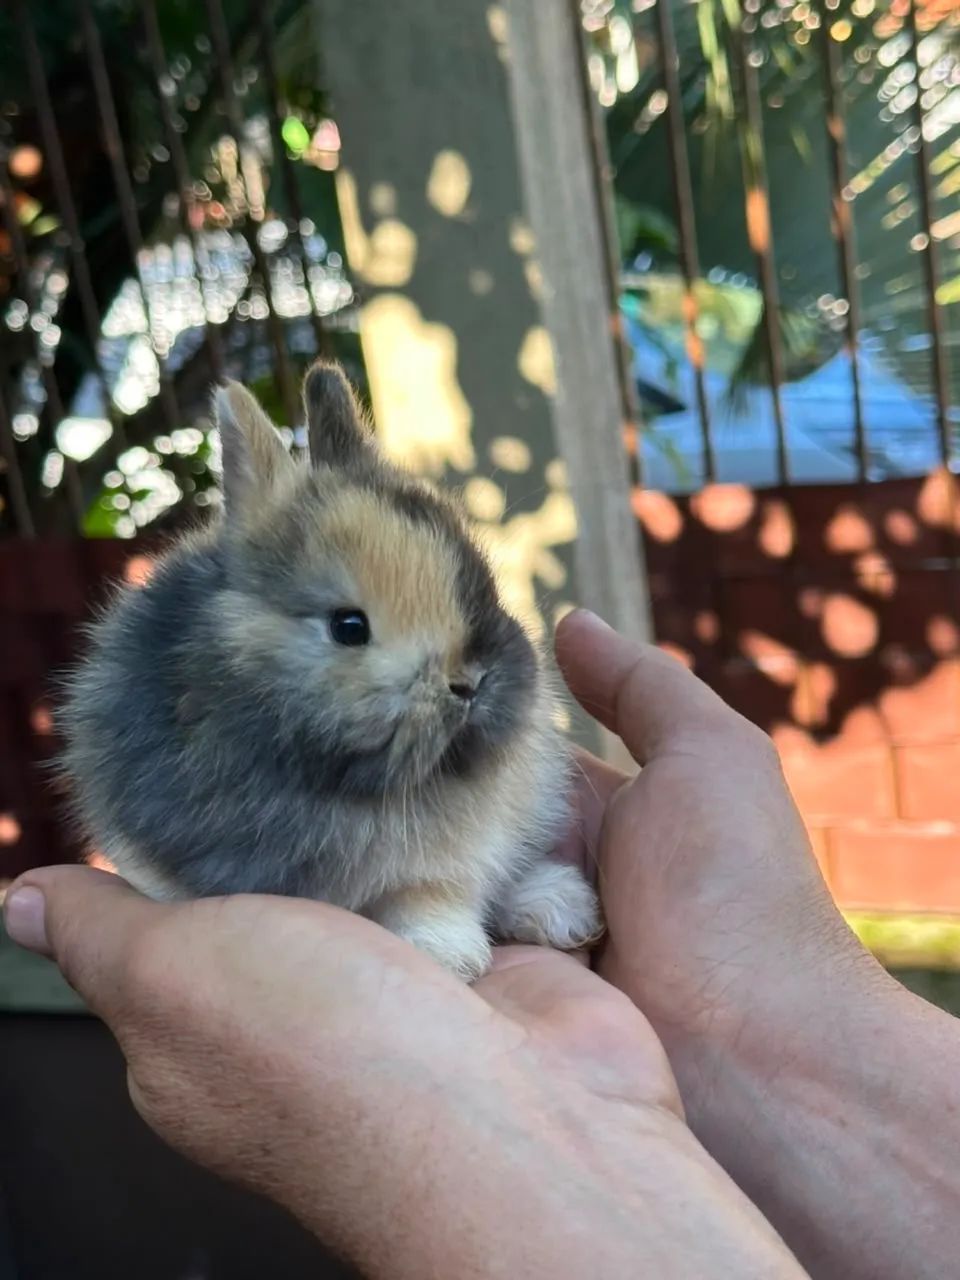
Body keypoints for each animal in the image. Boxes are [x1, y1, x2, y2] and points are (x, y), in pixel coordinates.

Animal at [59, 361, 602, 980]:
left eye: (486, 585)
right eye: (348, 626)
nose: (473, 683)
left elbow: (435, 891)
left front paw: (453, 955)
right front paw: (452, 958)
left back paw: (561, 907)